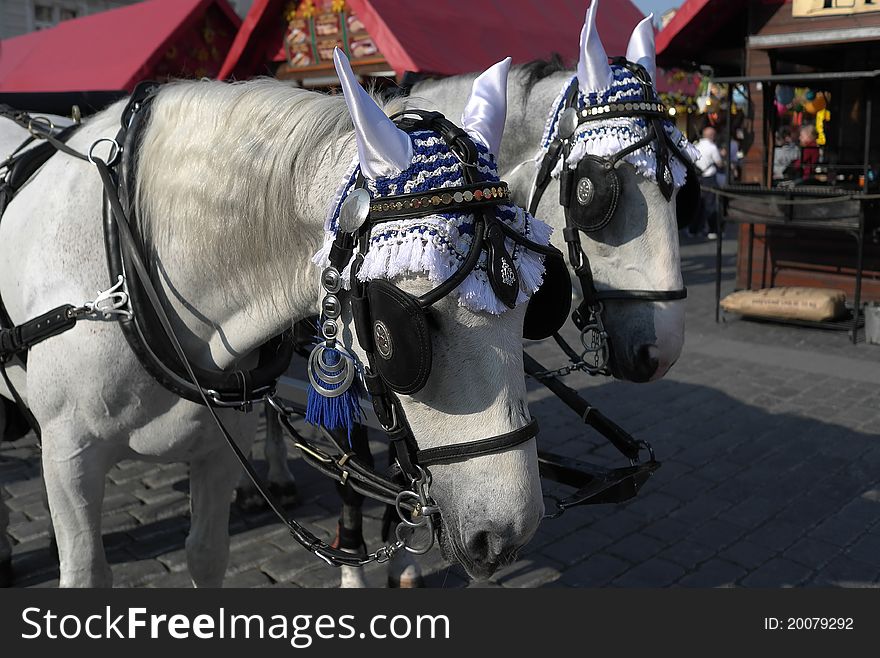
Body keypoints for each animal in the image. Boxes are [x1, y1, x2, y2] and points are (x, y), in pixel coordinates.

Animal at [0, 51, 548, 584]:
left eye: (535, 306)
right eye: (401, 327)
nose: (506, 535)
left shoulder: (219, 447)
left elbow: (206, 555)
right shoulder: (70, 455)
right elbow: (86, 571)